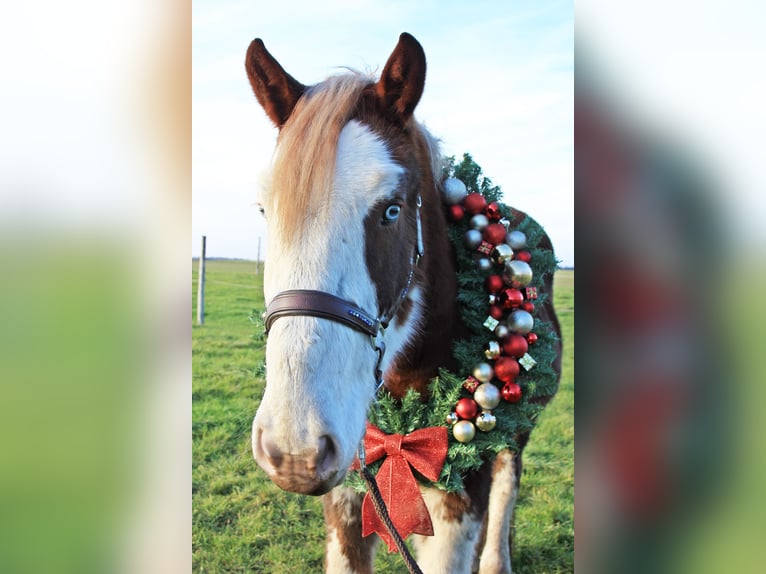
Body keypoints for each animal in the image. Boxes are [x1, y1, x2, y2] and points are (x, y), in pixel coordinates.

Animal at [246, 32, 564, 574]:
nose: (295, 448)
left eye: (392, 211)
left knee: (508, 481)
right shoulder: (349, 492)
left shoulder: (460, 500)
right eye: (266, 210)